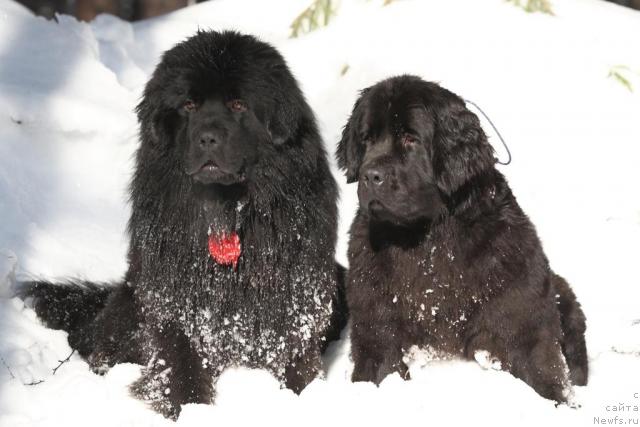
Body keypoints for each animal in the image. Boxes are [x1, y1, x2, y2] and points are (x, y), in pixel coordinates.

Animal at [23, 31, 344, 420]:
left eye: (239, 104)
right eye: (189, 105)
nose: (207, 137)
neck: (226, 209)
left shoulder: (293, 298)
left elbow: (294, 357)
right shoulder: (175, 302)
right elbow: (179, 364)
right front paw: (188, 407)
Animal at [338, 76, 588, 404]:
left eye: (410, 139)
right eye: (366, 140)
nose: (370, 175)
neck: (427, 240)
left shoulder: (521, 322)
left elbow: (543, 374)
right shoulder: (377, 329)